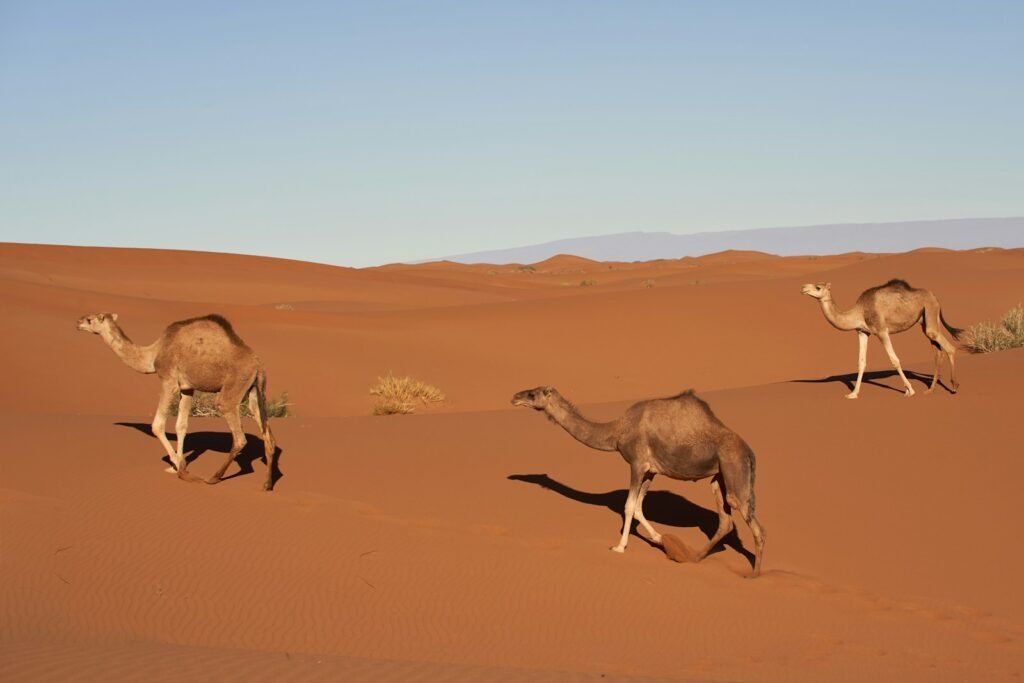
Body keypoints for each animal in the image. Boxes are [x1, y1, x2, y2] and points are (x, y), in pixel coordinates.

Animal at [76, 312, 279, 490]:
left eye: (90, 319)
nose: (78, 322)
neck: (154, 352)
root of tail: (258, 365)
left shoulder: (169, 380)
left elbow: (157, 425)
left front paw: (178, 466)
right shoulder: (187, 388)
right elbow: (181, 426)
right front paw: (179, 465)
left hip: (231, 391)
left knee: (239, 438)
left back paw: (213, 478)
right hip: (254, 392)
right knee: (268, 436)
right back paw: (267, 484)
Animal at [511, 386, 765, 576]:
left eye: (532, 394)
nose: (514, 397)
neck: (617, 430)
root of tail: (750, 453)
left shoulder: (636, 463)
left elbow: (628, 506)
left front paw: (619, 547)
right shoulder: (650, 470)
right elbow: (639, 508)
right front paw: (660, 539)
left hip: (734, 470)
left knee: (755, 527)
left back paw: (754, 574)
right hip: (719, 477)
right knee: (725, 522)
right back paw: (693, 556)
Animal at [801, 279, 961, 399]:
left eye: (818, 287)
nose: (803, 287)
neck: (860, 312)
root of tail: (934, 296)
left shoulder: (882, 331)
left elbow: (894, 360)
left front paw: (909, 390)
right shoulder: (862, 332)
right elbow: (861, 362)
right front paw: (853, 393)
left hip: (930, 311)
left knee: (949, 347)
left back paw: (954, 386)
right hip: (925, 319)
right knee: (938, 352)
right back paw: (931, 390)